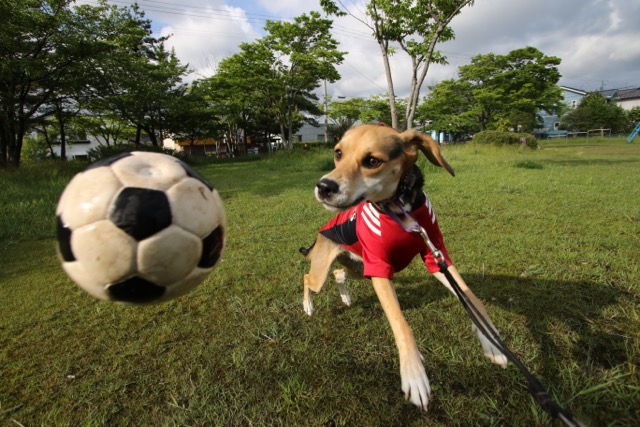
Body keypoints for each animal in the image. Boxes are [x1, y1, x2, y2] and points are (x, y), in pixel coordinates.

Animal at [298, 123, 508, 412]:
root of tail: (322, 232)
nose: (323, 186)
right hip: (328, 272)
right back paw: (308, 306)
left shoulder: (436, 256)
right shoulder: (380, 270)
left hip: (358, 267)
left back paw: (346, 298)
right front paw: (414, 374)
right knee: (307, 278)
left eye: (372, 161)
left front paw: (492, 343)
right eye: (338, 153)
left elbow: (472, 298)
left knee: (339, 274)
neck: (399, 208)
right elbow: (401, 323)